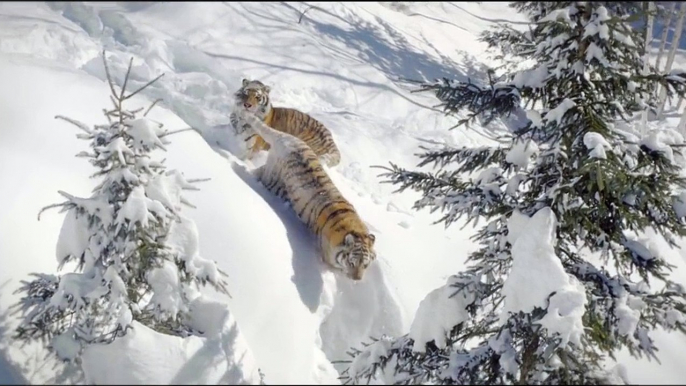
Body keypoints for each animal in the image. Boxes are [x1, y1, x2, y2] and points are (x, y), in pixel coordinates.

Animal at [235, 107, 376, 282]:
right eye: (352, 263)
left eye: (365, 265)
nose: (357, 279)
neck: (355, 230)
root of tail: (289, 140)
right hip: (272, 176)